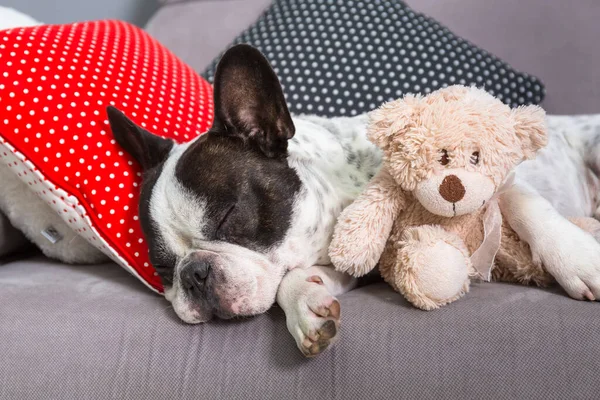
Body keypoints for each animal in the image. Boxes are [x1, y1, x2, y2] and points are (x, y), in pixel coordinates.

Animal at [108, 43, 600, 356]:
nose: (194, 274)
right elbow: (295, 279)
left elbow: (525, 207)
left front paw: (577, 260)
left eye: (229, 217)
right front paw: (306, 308)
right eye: (161, 266)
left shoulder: (489, 176)